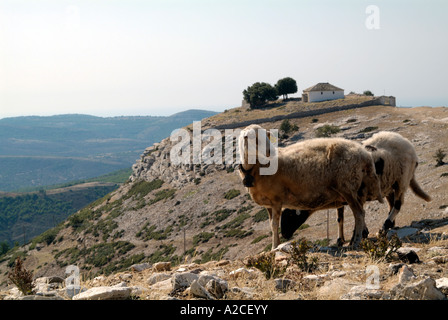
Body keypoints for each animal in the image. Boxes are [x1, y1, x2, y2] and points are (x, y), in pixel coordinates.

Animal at [236, 124, 384, 249]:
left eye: (267, 136)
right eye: (254, 138)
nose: (271, 152)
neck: (255, 168)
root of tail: (365, 154)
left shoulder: (277, 200)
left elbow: (274, 224)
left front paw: (274, 247)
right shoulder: (268, 204)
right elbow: (271, 225)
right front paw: (275, 245)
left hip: (347, 187)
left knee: (359, 213)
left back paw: (356, 241)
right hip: (357, 189)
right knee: (360, 212)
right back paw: (357, 239)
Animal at [282, 130, 432, 245]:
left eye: (290, 214)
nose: (284, 235)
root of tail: (407, 143)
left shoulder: (357, 193)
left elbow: (359, 213)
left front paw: (359, 234)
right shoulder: (343, 197)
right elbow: (340, 217)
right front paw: (341, 239)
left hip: (402, 180)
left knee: (398, 205)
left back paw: (384, 227)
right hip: (389, 185)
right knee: (391, 205)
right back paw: (390, 226)